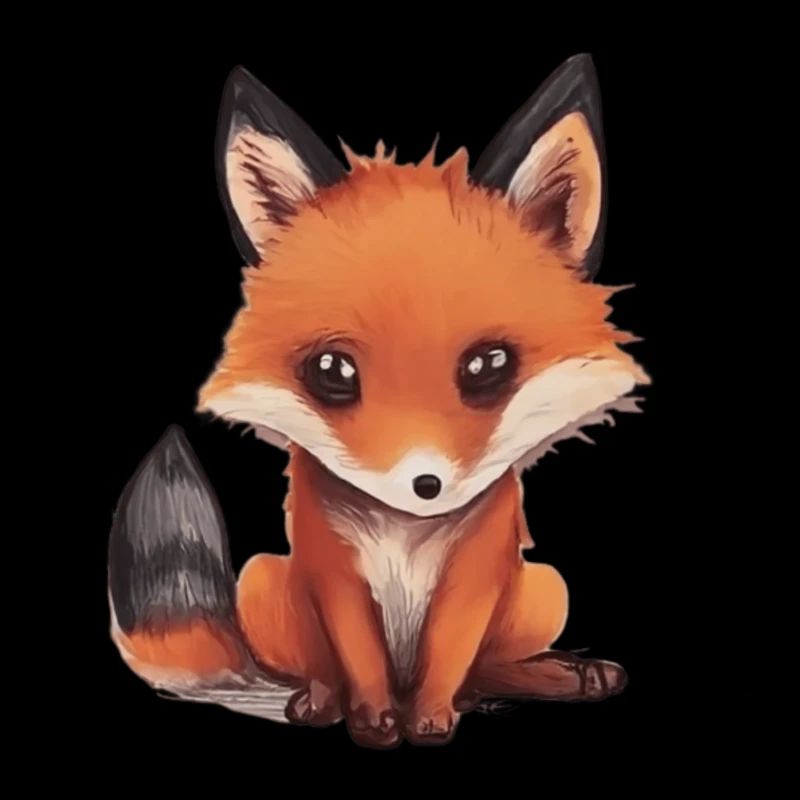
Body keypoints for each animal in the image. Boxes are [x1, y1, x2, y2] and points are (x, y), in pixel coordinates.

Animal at [108, 54, 650, 748]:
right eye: (332, 370)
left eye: (488, 365)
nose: (424, 485)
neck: (406, 535)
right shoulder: (333, 572)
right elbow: (359, 658)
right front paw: (374, 721)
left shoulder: (475, 575)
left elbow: (450, 656)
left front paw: (431, 720)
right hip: (260, 581)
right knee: (320, 667)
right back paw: (316, 700)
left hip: (547, 590)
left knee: (487, 670)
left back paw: (553, 677)